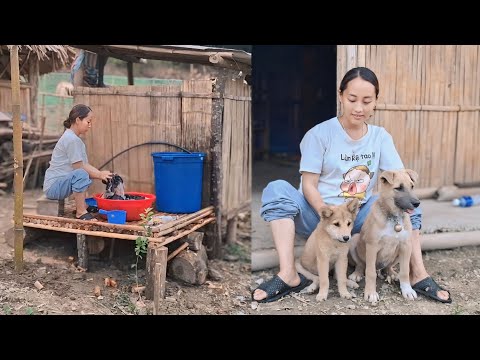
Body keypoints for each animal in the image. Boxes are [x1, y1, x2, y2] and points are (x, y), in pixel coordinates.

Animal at [348, 169, 420, 304]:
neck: (394, 218)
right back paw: (357, 274)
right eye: (399, 188)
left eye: (412, 186)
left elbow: (405, 271)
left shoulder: (406, 246)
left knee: (388, 266)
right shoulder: (372, 246)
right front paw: (371, 293)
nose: (417, 203)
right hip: (354, 240)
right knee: (361, 265)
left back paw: (392, 273)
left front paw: (407, 290)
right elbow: (370, 273)